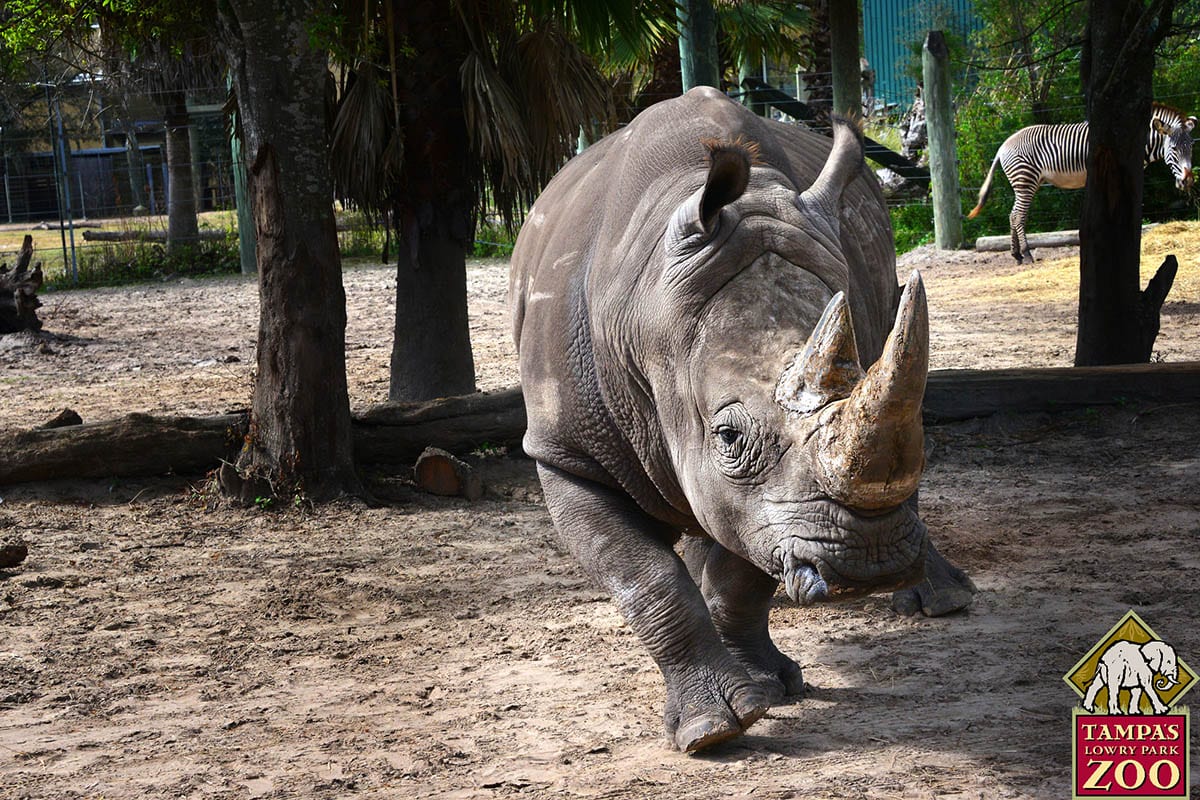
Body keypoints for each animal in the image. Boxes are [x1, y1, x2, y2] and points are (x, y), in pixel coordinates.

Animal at [509, 87, 974, 752]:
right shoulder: (565, 453)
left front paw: (768, 690)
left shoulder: (768, 504)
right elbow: (648, 579)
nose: (869, 563)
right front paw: (712, 732)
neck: (646, 310)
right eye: (728, 436)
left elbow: (743, 564)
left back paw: (941, 599)